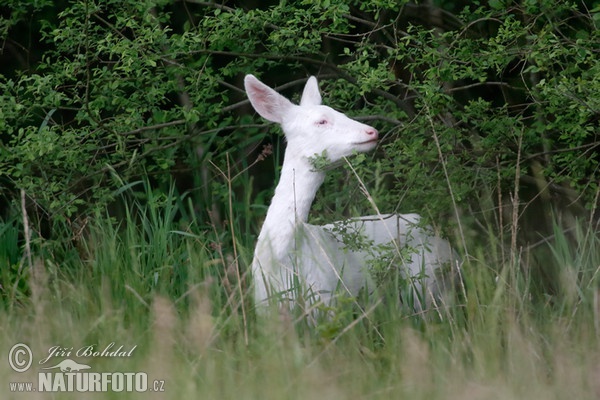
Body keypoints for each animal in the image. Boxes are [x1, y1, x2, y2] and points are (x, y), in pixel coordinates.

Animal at [244, 74, 454, 312]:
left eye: (342, 113)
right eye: (321, 121)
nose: (372, 132)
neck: (281, 263)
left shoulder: (327, 302)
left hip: (428, 282)